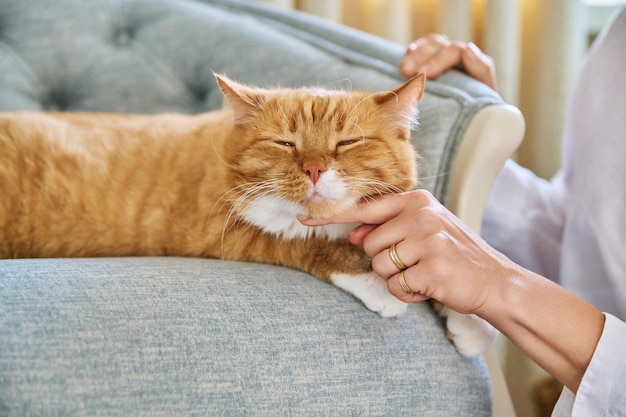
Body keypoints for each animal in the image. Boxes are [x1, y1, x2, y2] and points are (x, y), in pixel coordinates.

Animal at [2, 74, 494, 354]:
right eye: (285, 143)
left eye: (347, 143)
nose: (315, 168)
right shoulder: (225, 233)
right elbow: (307, 244)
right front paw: (374, 279)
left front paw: (465, 317)